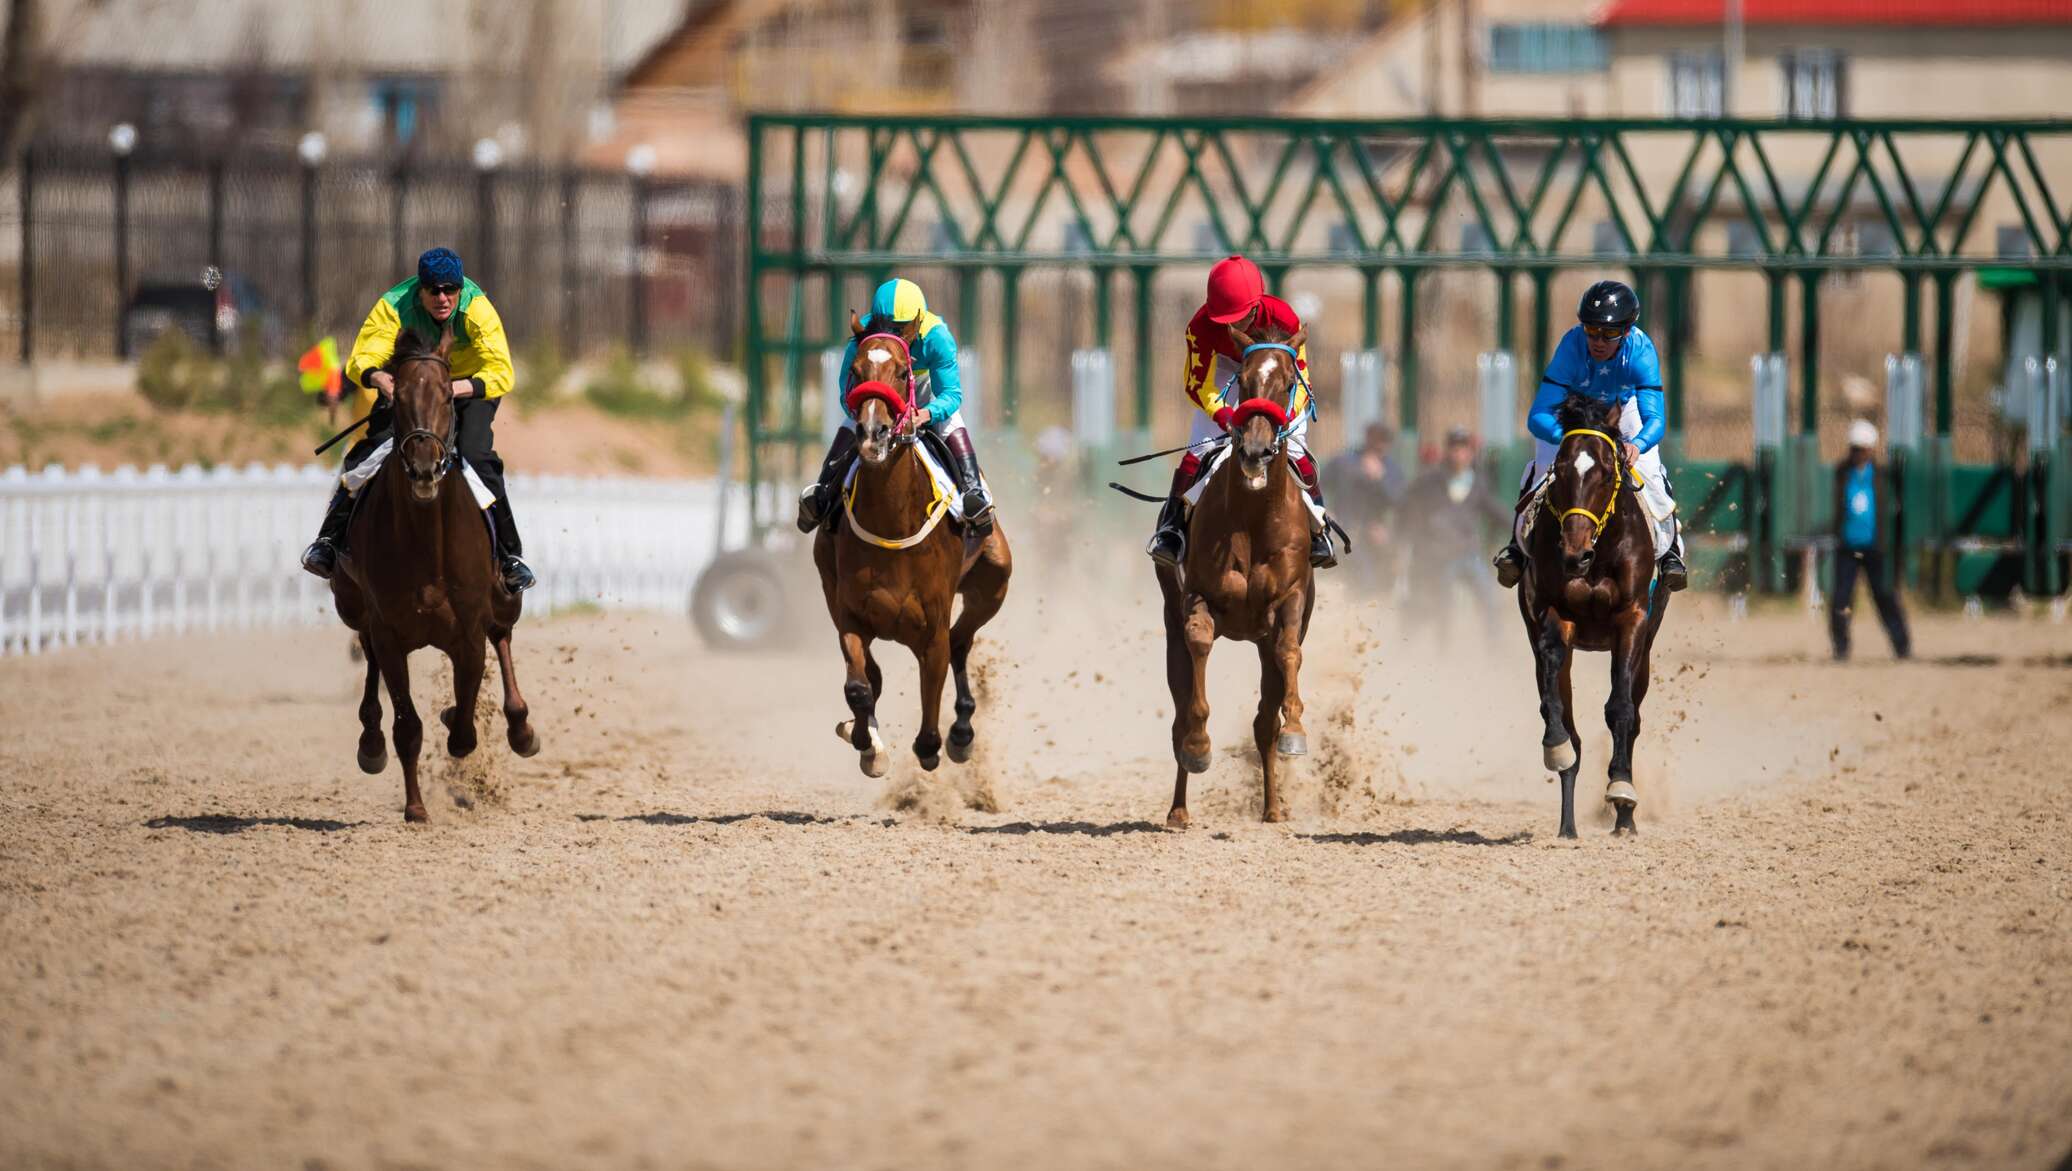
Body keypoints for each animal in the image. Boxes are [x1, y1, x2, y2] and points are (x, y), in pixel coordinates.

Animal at [327, 321, 538, 820]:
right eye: (398, 396)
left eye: (446, 395)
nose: (424, 466)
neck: (426, 544)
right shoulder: (388, 632)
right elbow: (408, 725)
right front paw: (415, 808)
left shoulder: (469, 632)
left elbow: (463, 727)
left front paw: (459, 724)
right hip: (353, 606)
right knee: (367, 657)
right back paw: (370, 740)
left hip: (505, 601)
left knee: (504, 638)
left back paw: (521, 728)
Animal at [808, 315, 1011, 779]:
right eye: (855, 372)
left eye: (903, 373)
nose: (873, 433)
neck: (892, 520)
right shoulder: (850, 616)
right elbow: (860, 686)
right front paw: (867, 744)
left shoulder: (931, 630)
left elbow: (931, 698)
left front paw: (935, 744)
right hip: (828, 587)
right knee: (877, 675)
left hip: (992, 585)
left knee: (960, 642)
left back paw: (962, 732)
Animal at [1160, 319, 1317, 824]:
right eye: (1244, 382)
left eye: (1287, 382)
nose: (1255, 451)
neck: (1251, 517)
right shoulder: (1197, 597)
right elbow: (1199, 645)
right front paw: (1199, 746)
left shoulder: (1291, 600)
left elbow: (1290, 652)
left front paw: (1296, 730)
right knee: (1178, 710)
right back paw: (1178, 810)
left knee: (1264, 719)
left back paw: (1273, 809)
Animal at [1516, 397, 1674, 837]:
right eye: (1560, 470)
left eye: (1606, 472)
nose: (1574, 553)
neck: (1599, 551)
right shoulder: (1553, 613)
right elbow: (1555, 705)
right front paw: (1556, 747)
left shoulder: (1632, 618)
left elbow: (1620, 707)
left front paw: (1620, 788)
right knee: (1566, 721)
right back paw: (1567, 825)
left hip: (1646, 650)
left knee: (1632, 715)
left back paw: (1624, 817)